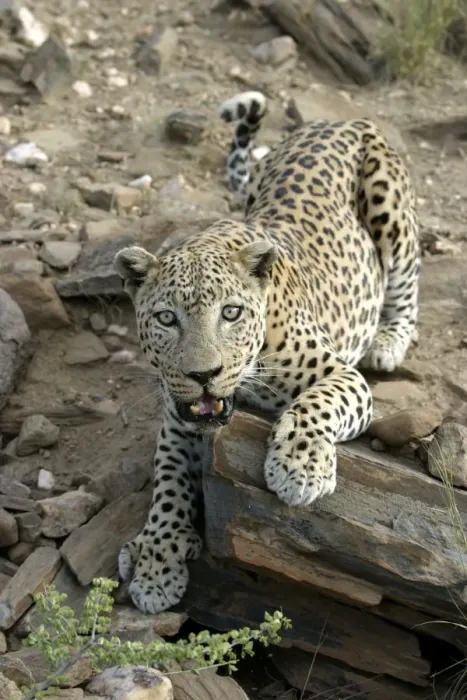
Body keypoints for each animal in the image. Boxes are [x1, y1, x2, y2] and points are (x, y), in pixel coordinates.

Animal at [114, 90, 420, 614]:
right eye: (167, 319)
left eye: (231, 313)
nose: (204, 374)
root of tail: (342, 120)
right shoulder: (178, 417)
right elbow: (168, 482)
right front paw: (157, 561)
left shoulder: (341, 376)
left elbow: (316, 404)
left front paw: (299, 468)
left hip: (390, 210)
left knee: (408, 282)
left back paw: (387, 342)